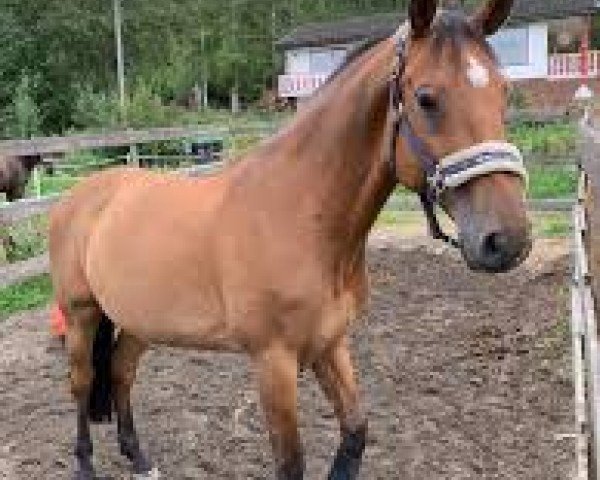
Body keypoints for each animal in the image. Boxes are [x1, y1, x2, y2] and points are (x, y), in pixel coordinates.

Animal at [50, 0, 528, 480]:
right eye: (427, 98)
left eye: (504, 92)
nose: (507, 239)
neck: (299, 214)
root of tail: (80, 195)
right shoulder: (273, 362)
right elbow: (290, 462)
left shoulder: (330, 345)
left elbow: (356, 431)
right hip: (80, 314)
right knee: (82, 383)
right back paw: (85, 463)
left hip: (138, 319)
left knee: (121, 372)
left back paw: (139, 458)